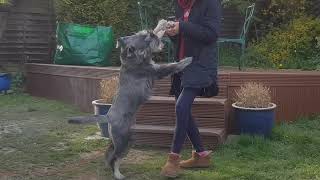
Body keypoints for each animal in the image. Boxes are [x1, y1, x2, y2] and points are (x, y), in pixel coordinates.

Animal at [68, 29, 191, 179]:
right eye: (143, 37)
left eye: (140, 34)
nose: (151, 32)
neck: (131, 60)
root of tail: (108, 116)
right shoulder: (155, 71)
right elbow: (172, 66)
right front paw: (188, 60)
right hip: (123, 140)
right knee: (114, 158)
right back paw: (118, 175)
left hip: (125, 141)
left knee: (111, 155)